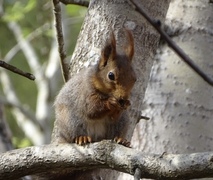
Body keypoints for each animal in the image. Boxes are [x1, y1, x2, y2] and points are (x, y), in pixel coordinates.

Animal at [49, 29, 136, 179]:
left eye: (134, 78)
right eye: (111, 75)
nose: (122, 98)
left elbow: (114, 115)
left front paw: (126, 104)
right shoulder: (85, 94)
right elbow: (92, 109)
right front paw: (111, 102)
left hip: (121, 123)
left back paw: (122, 140)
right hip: (71, 121)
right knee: (75, 134)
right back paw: (81, 138)